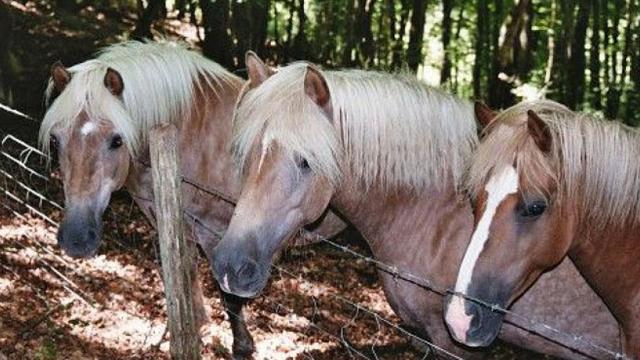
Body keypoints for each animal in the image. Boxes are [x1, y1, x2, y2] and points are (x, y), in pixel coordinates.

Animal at [37, 40, 342, 358]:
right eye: (56, 140)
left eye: (116, 140)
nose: (76, 238)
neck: (193, 135)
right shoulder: (173, 224)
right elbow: (183, 274)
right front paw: (190, 329)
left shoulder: (216, 234)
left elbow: (229, 295)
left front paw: (241, 346)